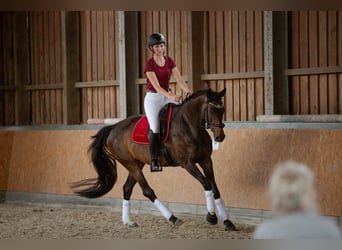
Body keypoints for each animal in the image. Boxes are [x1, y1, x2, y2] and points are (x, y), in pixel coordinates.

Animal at [71, 87, 236, 230]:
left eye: (222, 110)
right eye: (212, 109)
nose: (220, 137)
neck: (190, 125)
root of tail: (113, 128)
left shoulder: (206, 160)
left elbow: (215, 187)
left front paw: (227, 222)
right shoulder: (187, 163)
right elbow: (206, 183)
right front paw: (211, 216)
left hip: (137, 164)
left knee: (127, 188)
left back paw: (128, 221)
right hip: (131, 164)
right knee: (147, 191)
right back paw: (173, 218)